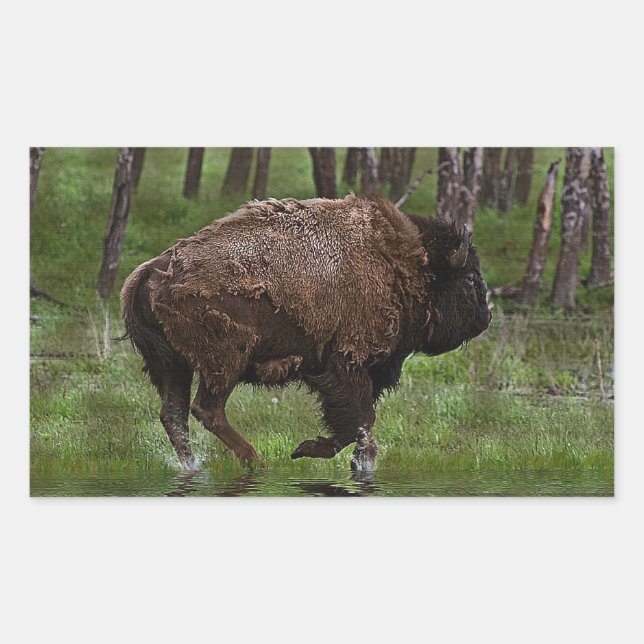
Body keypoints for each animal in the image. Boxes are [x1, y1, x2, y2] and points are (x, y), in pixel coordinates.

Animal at [121, 195, 491, 471]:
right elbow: (359, 419)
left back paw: (195, 466)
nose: (486, 318)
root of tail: (149, 272)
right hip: (224, 362)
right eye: (471, 278)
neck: (398, 265)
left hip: (172, 365)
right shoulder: (347, 364)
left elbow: (359, 423)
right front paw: (312, 451)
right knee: (206, 410)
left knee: (175, 415)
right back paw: (255, 460)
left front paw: (347, 459)